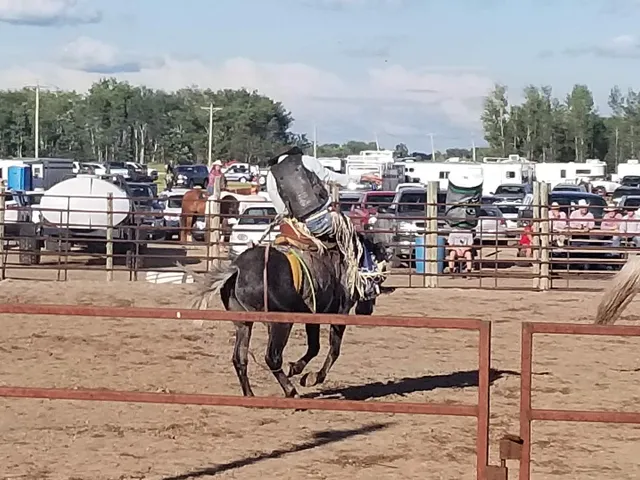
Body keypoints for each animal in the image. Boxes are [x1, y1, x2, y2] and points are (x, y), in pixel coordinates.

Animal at [189, 218, 393, 398]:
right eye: (379, 278)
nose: (366, 310)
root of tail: (237, 269)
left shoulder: (314, 314)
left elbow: (315, 347)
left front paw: (297, 369)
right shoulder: (339, 312)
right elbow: (332, 349)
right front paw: (311, 377)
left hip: (244, 324)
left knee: (240, 358)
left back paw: (249, 394)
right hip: (281, 323)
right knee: (272, 357)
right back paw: (291, 391)